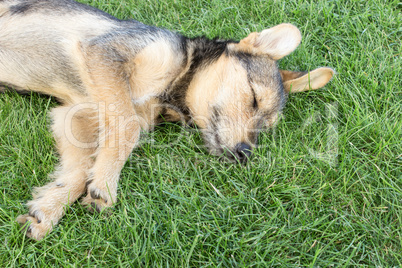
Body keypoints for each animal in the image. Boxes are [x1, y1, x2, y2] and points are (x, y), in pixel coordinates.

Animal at [0, 0, 332, 239]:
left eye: (266, 128)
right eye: (253, 98)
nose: (245, 153)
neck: (172, 86)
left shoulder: (75, 114)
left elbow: (79, 169)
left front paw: (48, 208)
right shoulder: (105, 52)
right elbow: (128, 129)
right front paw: (106, 183)